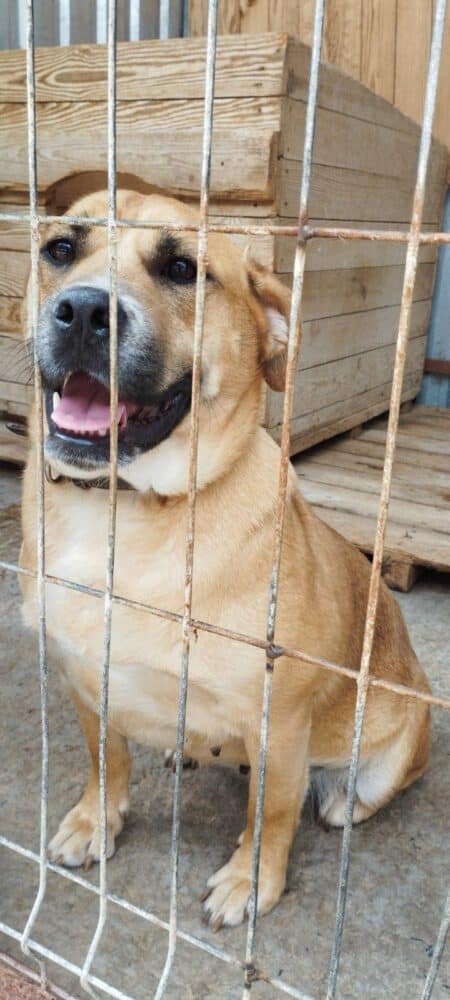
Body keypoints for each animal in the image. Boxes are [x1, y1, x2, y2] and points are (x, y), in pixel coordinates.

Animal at [20, 189, 430, 929]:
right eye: (60, 250)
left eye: (183, 268)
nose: (86, 312)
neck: (126, 514)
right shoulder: (83, 681)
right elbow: (105, 760)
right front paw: (96, 821)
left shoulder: (280, 725)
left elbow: (271, 815)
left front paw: (249, 882)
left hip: (398, 737)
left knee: (367, 785)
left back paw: (343, 799)